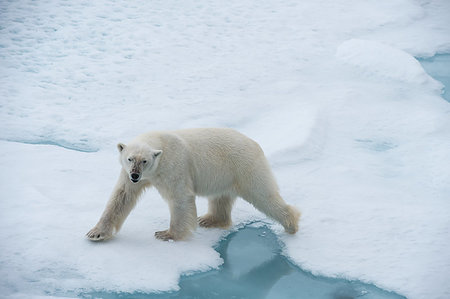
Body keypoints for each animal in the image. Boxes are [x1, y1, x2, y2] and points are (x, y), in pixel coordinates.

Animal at [86, 129, 300, 241]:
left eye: (144, 161)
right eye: (130, 158)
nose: (135, 175)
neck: (161, 142)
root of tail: (255, 143)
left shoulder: (174, 166)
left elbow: (180, 197)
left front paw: (166, 234)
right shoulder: (127, 174)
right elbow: (122, 197)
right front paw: (95, 233)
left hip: (245, 167)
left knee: (263, 195)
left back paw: (291, 224)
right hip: (224, 174)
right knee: (220, 198)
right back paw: (209, 219)